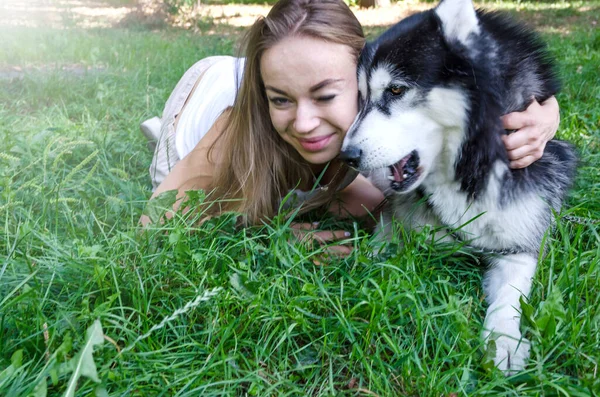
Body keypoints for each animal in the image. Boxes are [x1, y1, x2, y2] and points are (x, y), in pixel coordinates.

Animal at [340, 0, 576, 374]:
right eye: (360, 99)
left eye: (396, 90)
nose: (346, 155)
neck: (467, 169)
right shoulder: (394, 223)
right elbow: (375, 250)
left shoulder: (520, 243)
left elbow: (509, 294)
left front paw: (504, 340)